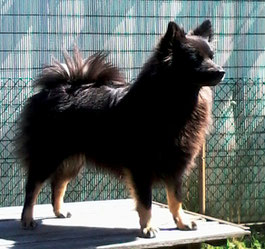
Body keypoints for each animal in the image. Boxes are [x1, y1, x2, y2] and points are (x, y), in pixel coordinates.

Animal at [15, 20, 223, 238]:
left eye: (211, 57)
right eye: (195, 59)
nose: (221, 71)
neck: (175, 101)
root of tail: (59, 87)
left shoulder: (175, 167)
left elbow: (176, 199)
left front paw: (181, 222)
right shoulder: (141, 167)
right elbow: (146, 202)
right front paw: (148, 227)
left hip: (72, 159)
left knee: (58, 183)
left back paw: (59, 211)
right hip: (48, 155)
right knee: (32, 186)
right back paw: (27, 219)